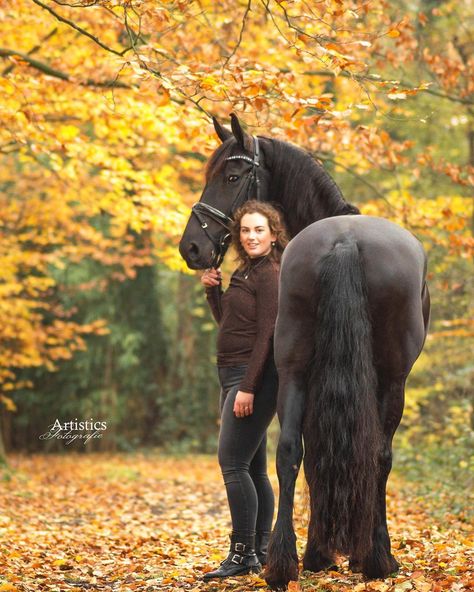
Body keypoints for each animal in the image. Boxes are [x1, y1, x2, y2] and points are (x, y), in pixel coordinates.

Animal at [178, 114, 430, 588]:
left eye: (232, 176)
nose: (192, 248)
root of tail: (345, 241)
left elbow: (311, 455)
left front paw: (321, 552)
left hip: (294, 369)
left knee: (290, 452)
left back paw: (285, 562)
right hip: (391, 379)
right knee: (379, 454)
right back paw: (377, 558)